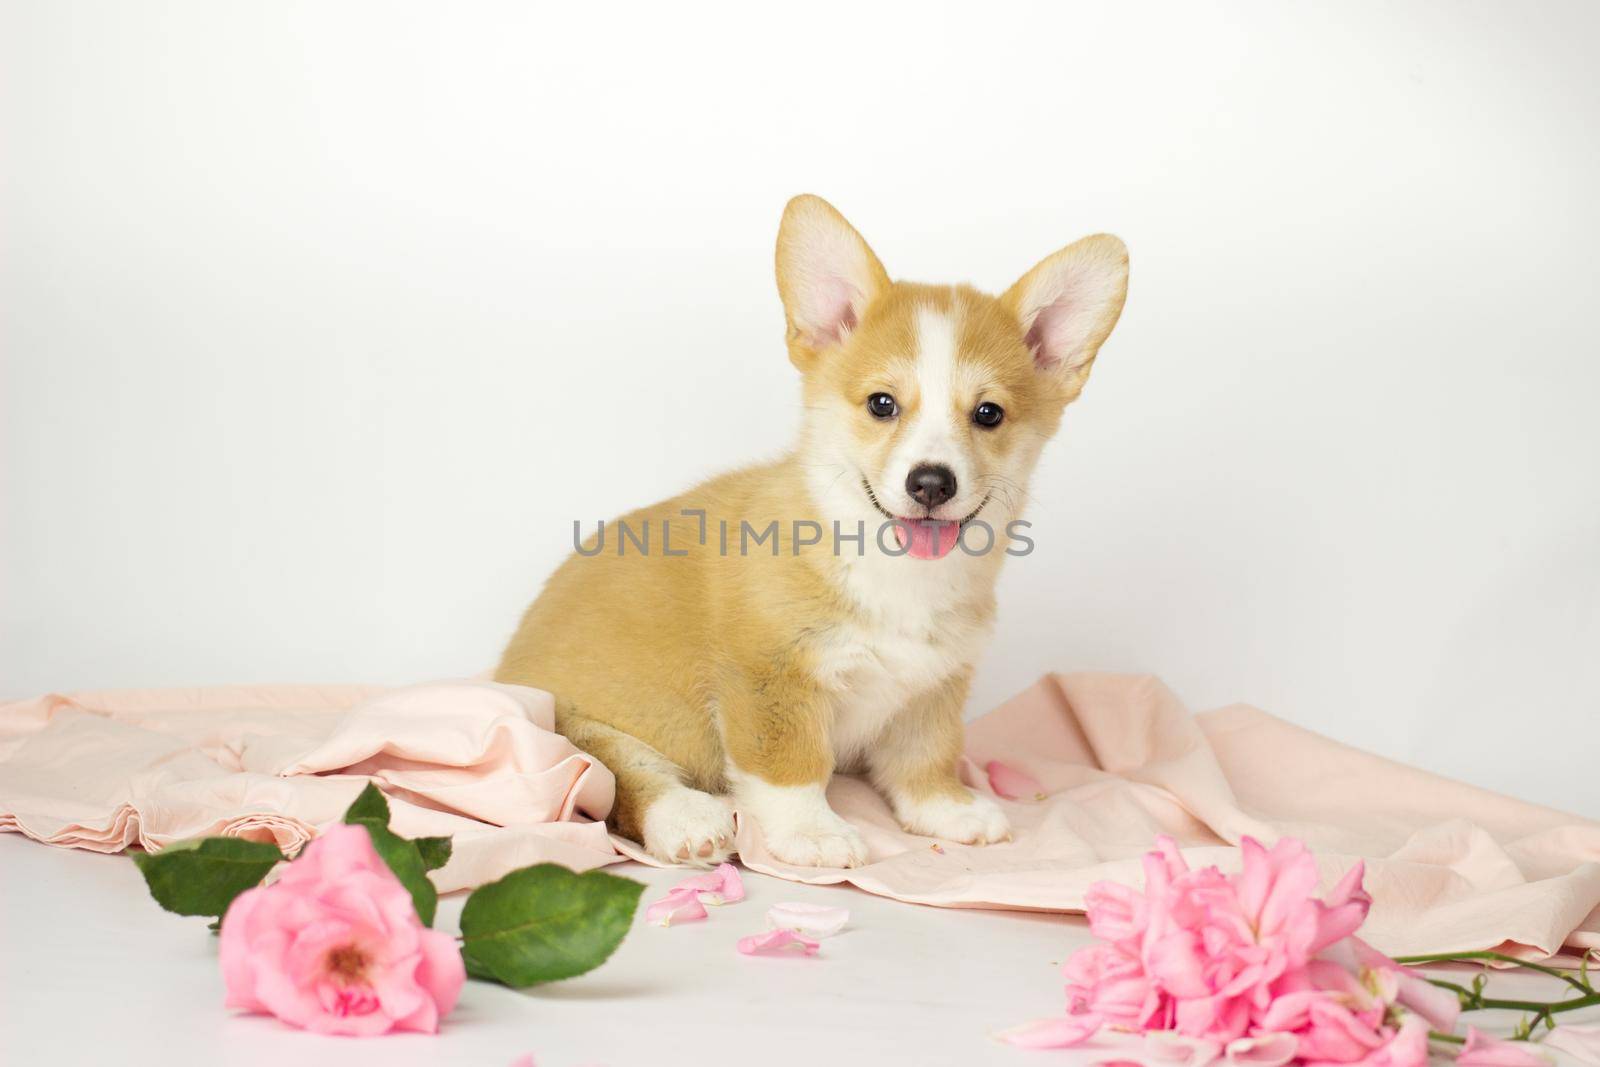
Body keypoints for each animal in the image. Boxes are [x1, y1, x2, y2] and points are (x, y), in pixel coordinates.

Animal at [492, 198, 1132, 870]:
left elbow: (926, 757)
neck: (894, 573)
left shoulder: (933, 687)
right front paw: (813, 833)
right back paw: (688, 818)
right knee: (615, 775)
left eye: (989, 414)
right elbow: (790, 768)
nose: (932, 482)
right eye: (881, 404)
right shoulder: (770, 679)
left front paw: (946, 809)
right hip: (566, 721)